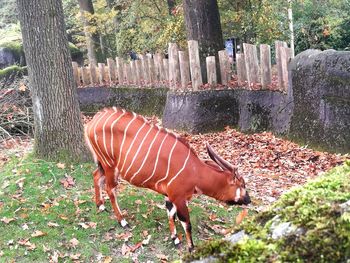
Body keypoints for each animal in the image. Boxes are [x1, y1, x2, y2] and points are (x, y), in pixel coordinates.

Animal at [84, 108, 249, 253]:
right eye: (242, 184)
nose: (248, 200)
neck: (195, 171)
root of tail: (93, 121)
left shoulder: (170, 196)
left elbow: (171, 214)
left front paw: (175, 239)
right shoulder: (179, 197)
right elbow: (186, 222)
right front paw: (191, 248)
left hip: (103, 164)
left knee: (96, 176)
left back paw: (100, 205)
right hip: (110, 166)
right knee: (110, 189)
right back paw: (122, 221)